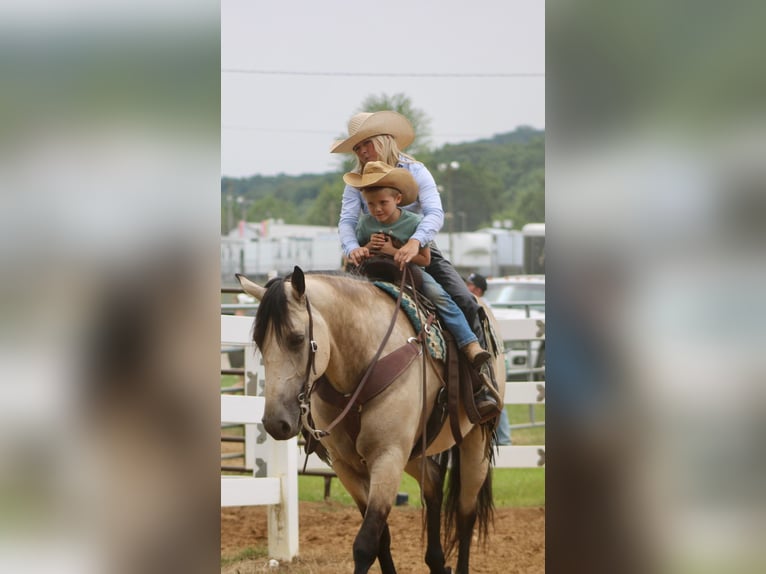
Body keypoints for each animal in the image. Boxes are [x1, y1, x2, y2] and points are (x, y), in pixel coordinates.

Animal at [237, 268, 508, 572]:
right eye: (259, 342)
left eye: (296, 338)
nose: (276, 423)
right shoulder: (347, 466)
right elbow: (381, 538)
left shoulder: (387, 457)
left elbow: (366, 544)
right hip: (413, 451)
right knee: (434, 484)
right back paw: (437, 562)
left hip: (473, 444)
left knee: (465, 513)